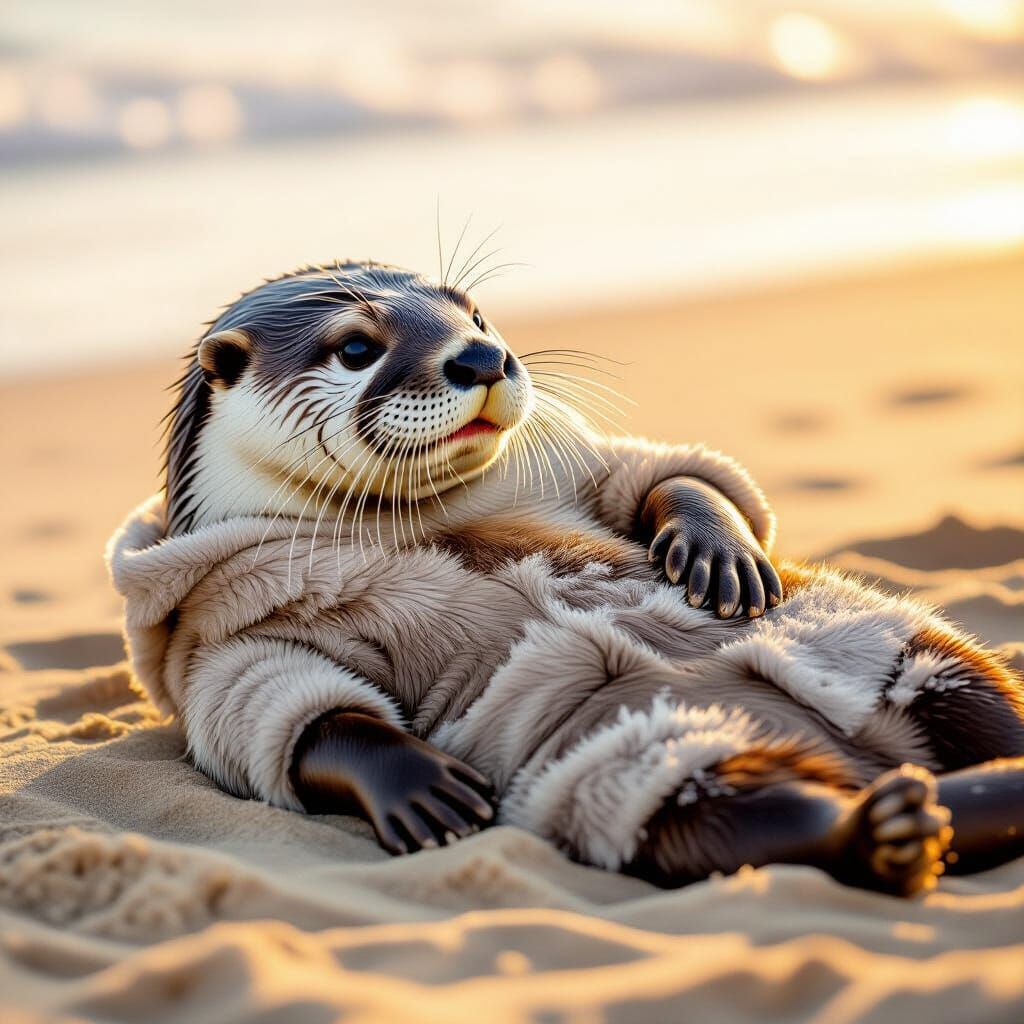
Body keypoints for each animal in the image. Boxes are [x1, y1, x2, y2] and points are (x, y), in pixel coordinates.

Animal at [108, 260, 1024, 897]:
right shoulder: (221, 627)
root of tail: (870, 760)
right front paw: (418, 782)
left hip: (891, 649)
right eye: (356, 347)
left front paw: (717, 552)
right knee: (751, 816)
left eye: (475, 312)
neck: (426, 522)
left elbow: (659, 475)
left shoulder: (582, 468)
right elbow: (270, 697)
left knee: (971, 697)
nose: (484, 354)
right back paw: (894, 827)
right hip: (640, 764)